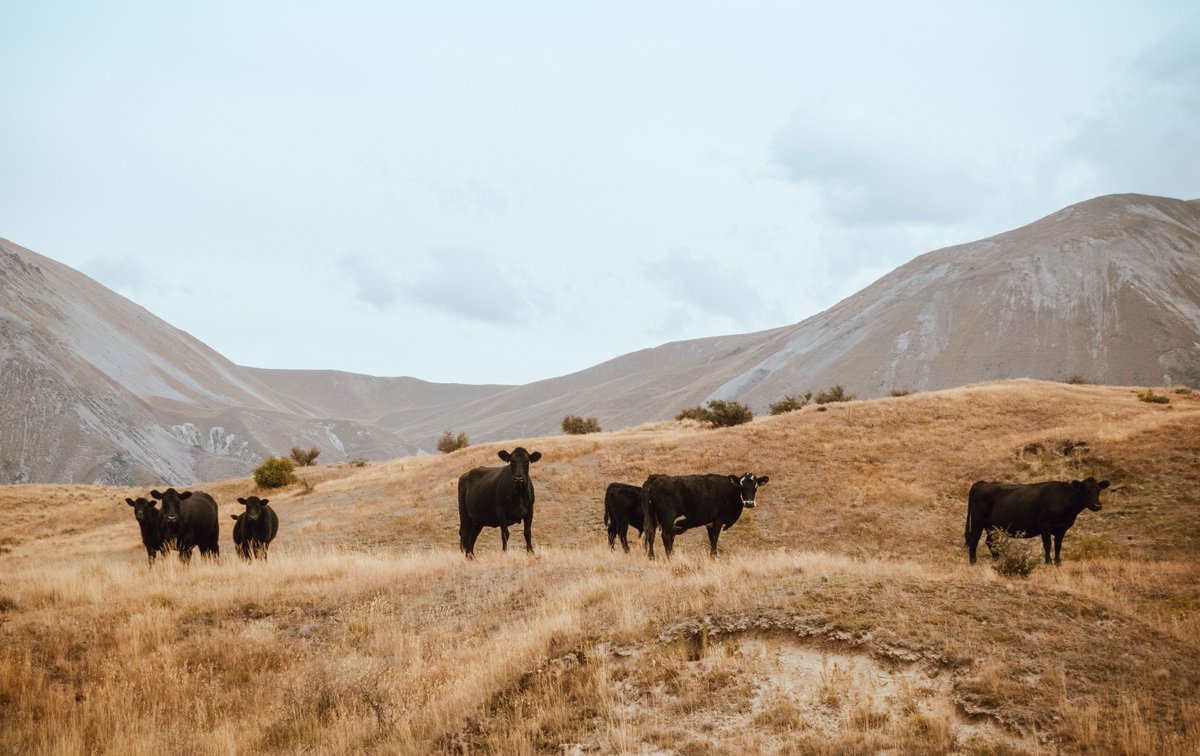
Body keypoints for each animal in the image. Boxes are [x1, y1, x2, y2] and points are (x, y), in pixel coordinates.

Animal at [965, 477, 1110, 565]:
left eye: (1098, 490)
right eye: (1085, 490)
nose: (1097, 506)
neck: (1062, 499)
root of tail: (981, 483)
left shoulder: (1062, 528)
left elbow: (1058, 546)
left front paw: (1058, 563)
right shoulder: (1045, 525)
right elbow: (1047, 545)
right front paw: (1048, 563)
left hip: (991, 526)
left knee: (990, 541)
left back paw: (998, 560)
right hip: (978, 521)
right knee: (974, 540)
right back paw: (973, 562)